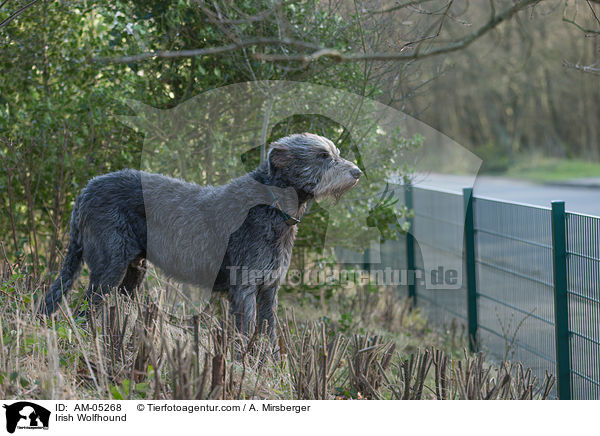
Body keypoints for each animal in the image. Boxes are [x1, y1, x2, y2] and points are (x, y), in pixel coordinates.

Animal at [42, 134, 364, 340]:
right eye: (322, 156)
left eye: (334, 153)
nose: (358, 172)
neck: (270, 205)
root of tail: (86, 190)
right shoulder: (244, 287)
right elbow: (244, 333)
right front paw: (243, 370)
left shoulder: (269, 289)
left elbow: (269, 334)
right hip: (109, 267)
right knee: (85, 308)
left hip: (133, 271)